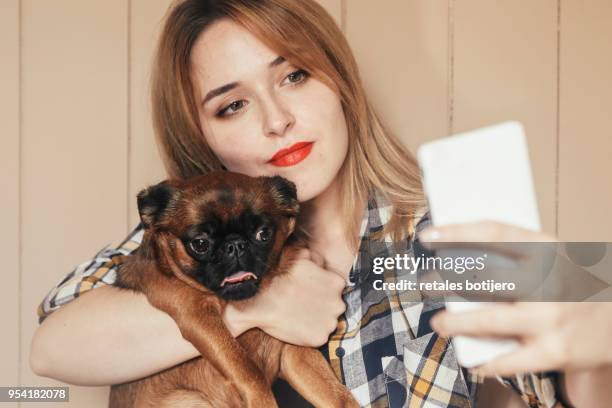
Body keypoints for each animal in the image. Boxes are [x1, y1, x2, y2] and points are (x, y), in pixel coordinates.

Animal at [109, 172, 358, 408]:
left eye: (263, 234)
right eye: (200, 244)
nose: (235, 244)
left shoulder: (295, 353)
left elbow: (334, 392)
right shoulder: (197, 316)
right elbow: (248, 369)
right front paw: (262, 401)